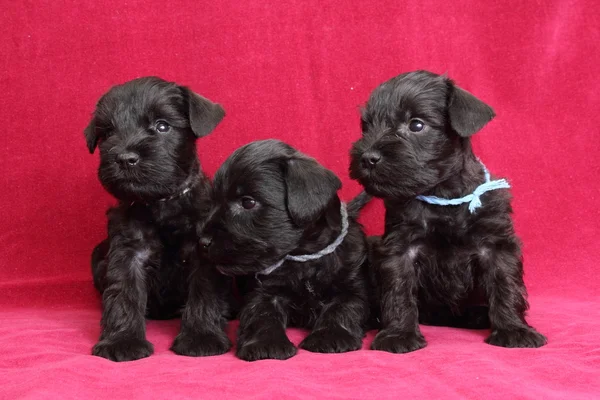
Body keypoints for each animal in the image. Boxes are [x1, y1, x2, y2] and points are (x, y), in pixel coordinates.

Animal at [84, 76, 232, 360]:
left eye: (162, 125)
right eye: (107, 133)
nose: (125, 158)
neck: (162, 203)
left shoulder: (203, 253)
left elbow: (204, 291)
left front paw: (201, 336)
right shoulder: (128, 252)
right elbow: (123, 292)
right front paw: (122, 341)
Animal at [199, 141, 372, 362]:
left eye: (248, 202)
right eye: (213, 201)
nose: (203, 241)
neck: (303, 259)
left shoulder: (351, 288)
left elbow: (343, 307)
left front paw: (330, 335)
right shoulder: (265, 292)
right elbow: (262, 315)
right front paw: (266, 344)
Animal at [350, 70, 548, 352]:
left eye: (416, 125)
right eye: (366, 126)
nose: (367, 157)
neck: (443, 196)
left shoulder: (496, 245)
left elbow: (505, 285)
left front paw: (514, 329)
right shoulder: (400, 248)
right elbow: (398, 291)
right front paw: (399, 334)